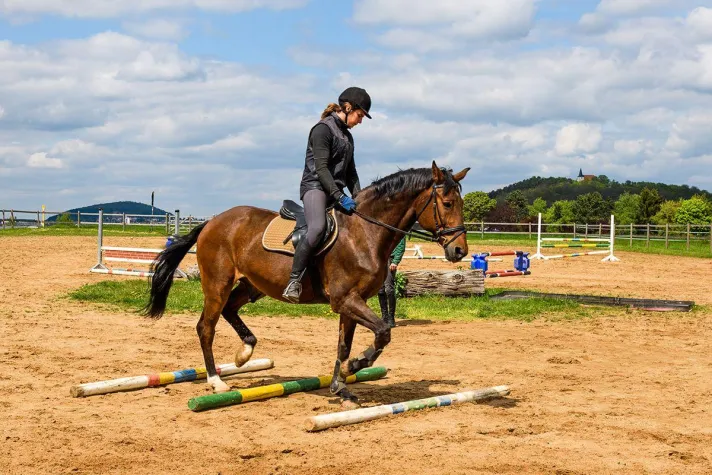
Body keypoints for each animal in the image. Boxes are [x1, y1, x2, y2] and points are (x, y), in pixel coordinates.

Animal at [144, 161, 470, 405]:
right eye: (447, 203)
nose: (459, 251)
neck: (364, 232)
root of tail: (211, 222)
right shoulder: (345, 300)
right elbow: (382, 333)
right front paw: (353, 368)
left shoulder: (352, 303)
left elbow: (344, 345)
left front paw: (340, 386)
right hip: (217, 284)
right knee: (206, 327)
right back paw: (216, 381)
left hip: (252, 286)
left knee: (229, 311)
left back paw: (244, 353)